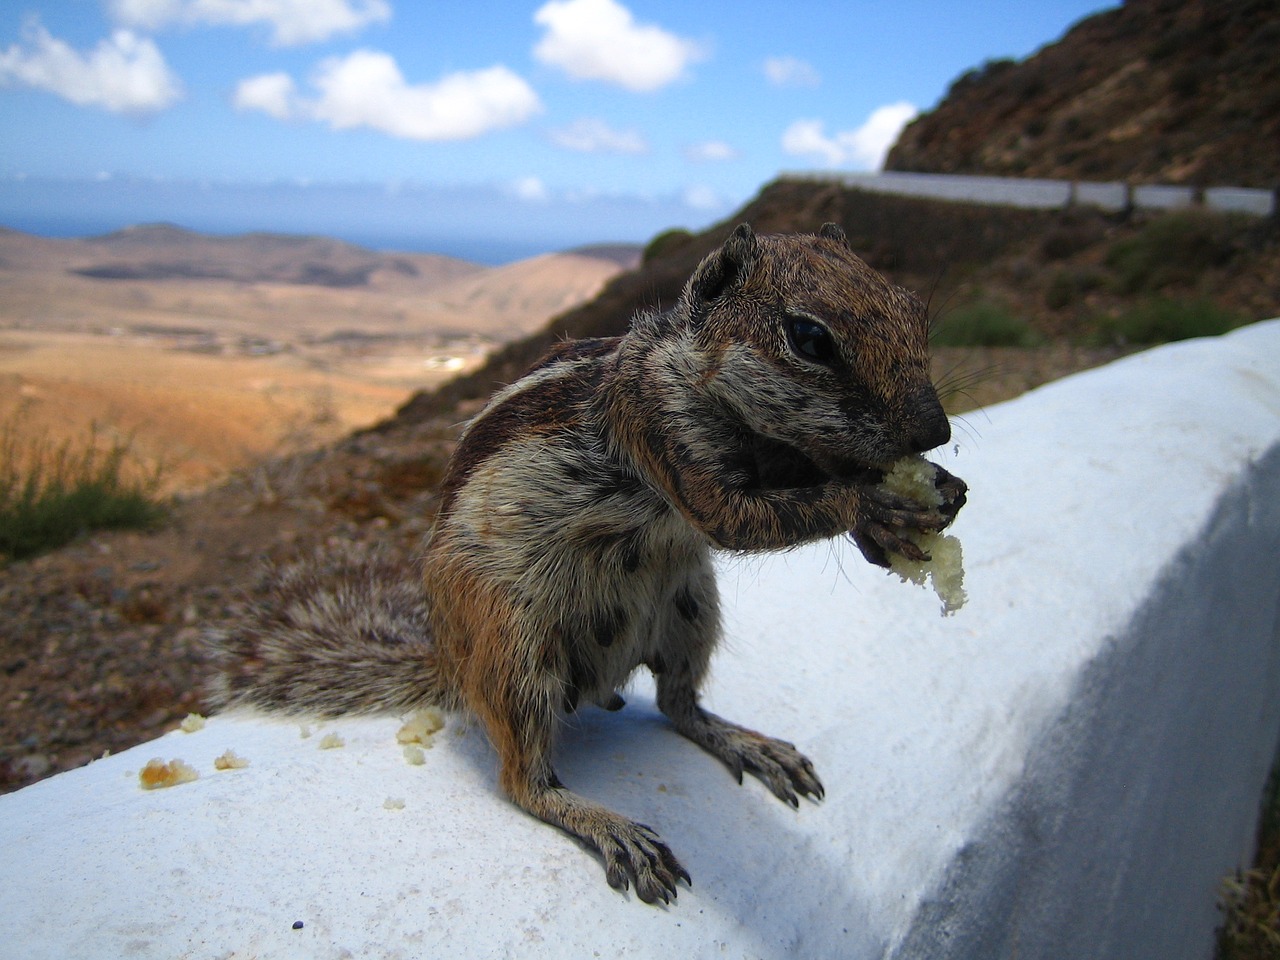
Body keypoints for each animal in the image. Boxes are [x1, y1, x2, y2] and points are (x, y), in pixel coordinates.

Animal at [212, 221, 967, 906]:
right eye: (810, 338)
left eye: (913, 306)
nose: (936, 431)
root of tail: (451, 664)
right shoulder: (657, 429)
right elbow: (736, 517)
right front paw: (876, 504)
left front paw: (927, 502)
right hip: (513, 648)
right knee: (523, 782)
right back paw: (613, 829)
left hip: (689, 608)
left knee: (678, 705)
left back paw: (746, 743)